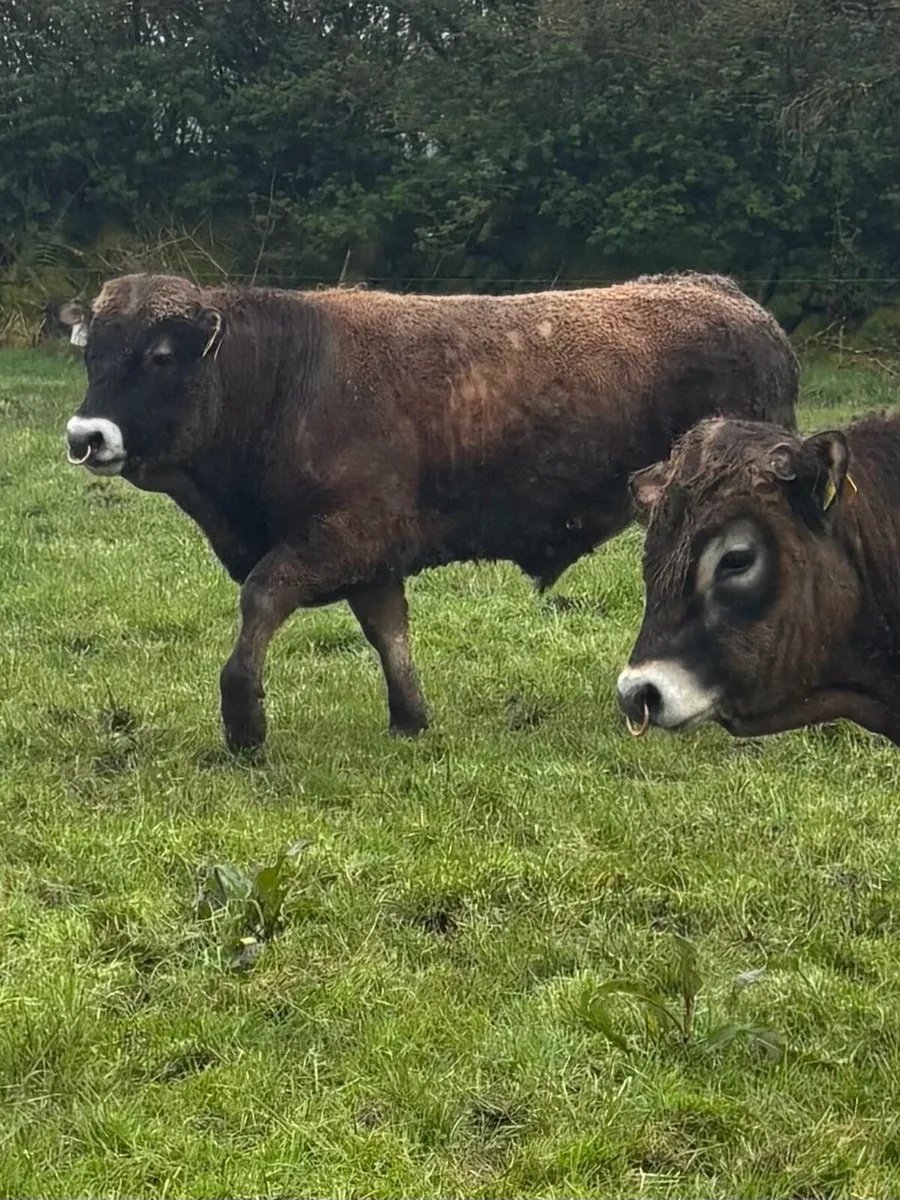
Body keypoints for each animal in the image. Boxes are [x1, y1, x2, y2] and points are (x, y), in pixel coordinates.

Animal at [61, 271, 798, 754]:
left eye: (159, 355)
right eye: (92, 353)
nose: (83, 435)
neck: (283, 380)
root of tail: (728, 296)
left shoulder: (337, 538)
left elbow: (261, 599)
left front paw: (244, 719)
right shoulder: (372, 557)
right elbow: (389, 634)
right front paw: (409, 717)